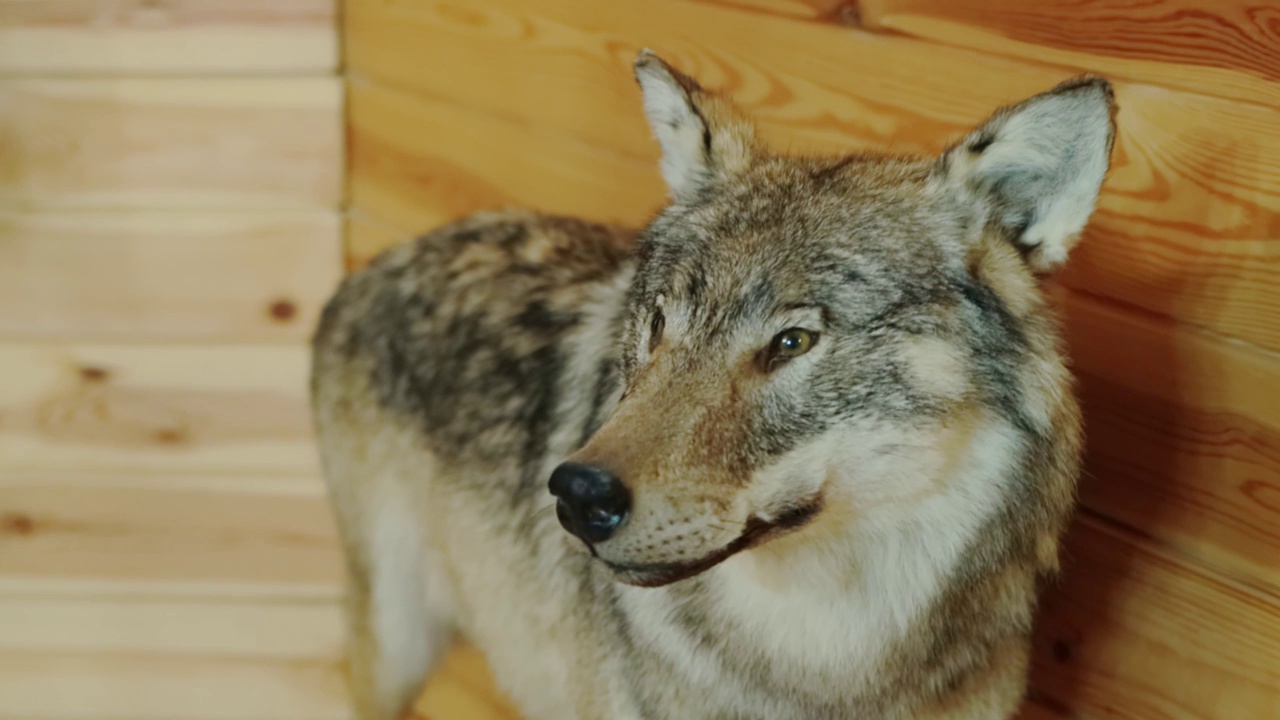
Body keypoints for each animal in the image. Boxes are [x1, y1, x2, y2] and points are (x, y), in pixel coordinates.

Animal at [307, 51, 1111, 717]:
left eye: (792, 342)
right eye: (660, 325)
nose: (577, 495)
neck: (826, 673)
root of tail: (379, 261)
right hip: (395, 648)